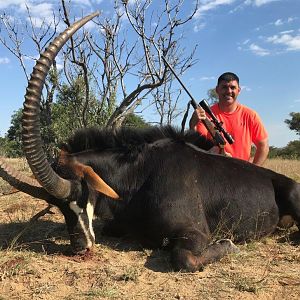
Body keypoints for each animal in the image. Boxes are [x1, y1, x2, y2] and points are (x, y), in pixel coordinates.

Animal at [0, 12, 300, 272]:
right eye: (58, 207)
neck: (139, 176)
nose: (79, 247)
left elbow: (185, 259)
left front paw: (229, 244)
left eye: (80, 195)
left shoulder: (195, 233)